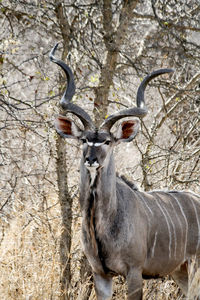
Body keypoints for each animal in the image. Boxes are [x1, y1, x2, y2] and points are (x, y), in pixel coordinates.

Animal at [49, 43, 200, 298]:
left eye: (107, 141)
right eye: (84, 139)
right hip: (180, 270)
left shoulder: (134, 272)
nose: (91, 159)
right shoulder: (101, 274)